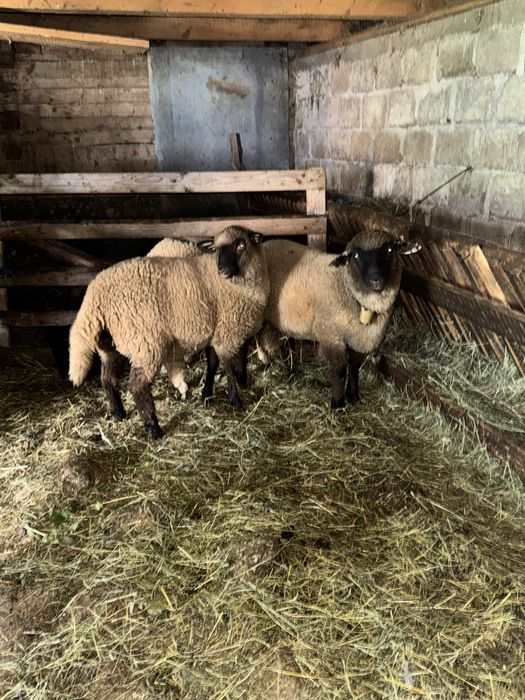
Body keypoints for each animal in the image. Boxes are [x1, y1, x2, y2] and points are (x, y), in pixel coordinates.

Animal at [69, 226, 269, 438]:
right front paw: (236, 400)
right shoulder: (227, 332)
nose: (222, 269)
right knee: (138, 385)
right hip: (146, 342)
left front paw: (208, 394)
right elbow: (228, 367)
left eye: (242, 245)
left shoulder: (216, 331)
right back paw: (154, 428)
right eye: (216, 249)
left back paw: (118, 413)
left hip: (109, 344)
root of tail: (95, 295)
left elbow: (214, 364)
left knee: (107, 379)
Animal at [255, 229, 421, 409]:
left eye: (390, 250)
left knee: (283, 342)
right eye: (356, 255)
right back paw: (263, 358)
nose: (376, 280)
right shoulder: (331, 336)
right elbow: (339, 370)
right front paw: (338, 403)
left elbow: (354, 367)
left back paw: (291, 368)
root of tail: (266, 243)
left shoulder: (357, 338)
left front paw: (353, 395)